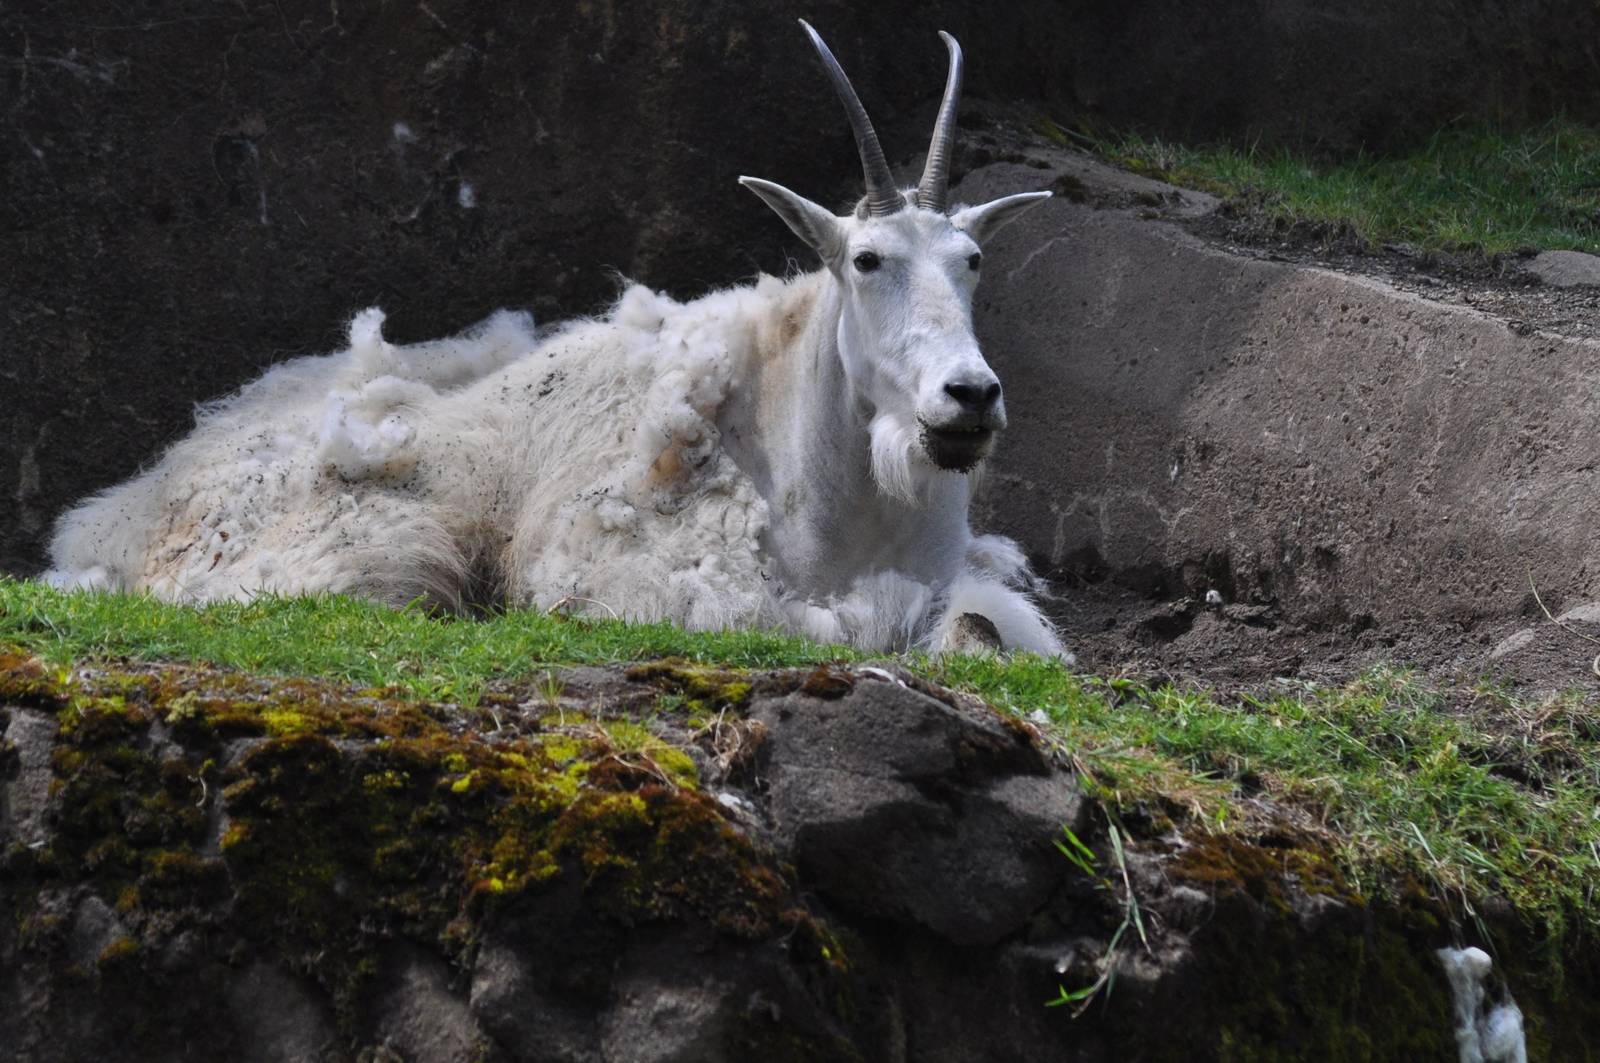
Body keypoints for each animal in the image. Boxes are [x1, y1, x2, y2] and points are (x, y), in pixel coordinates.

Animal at [47, 21, 1070, 660]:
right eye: (865, 258)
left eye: (973, 259)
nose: (968, 398)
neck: (838, 506)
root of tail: (127, 510)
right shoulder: (633, 579)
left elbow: (977, 628)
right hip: (382, 538)